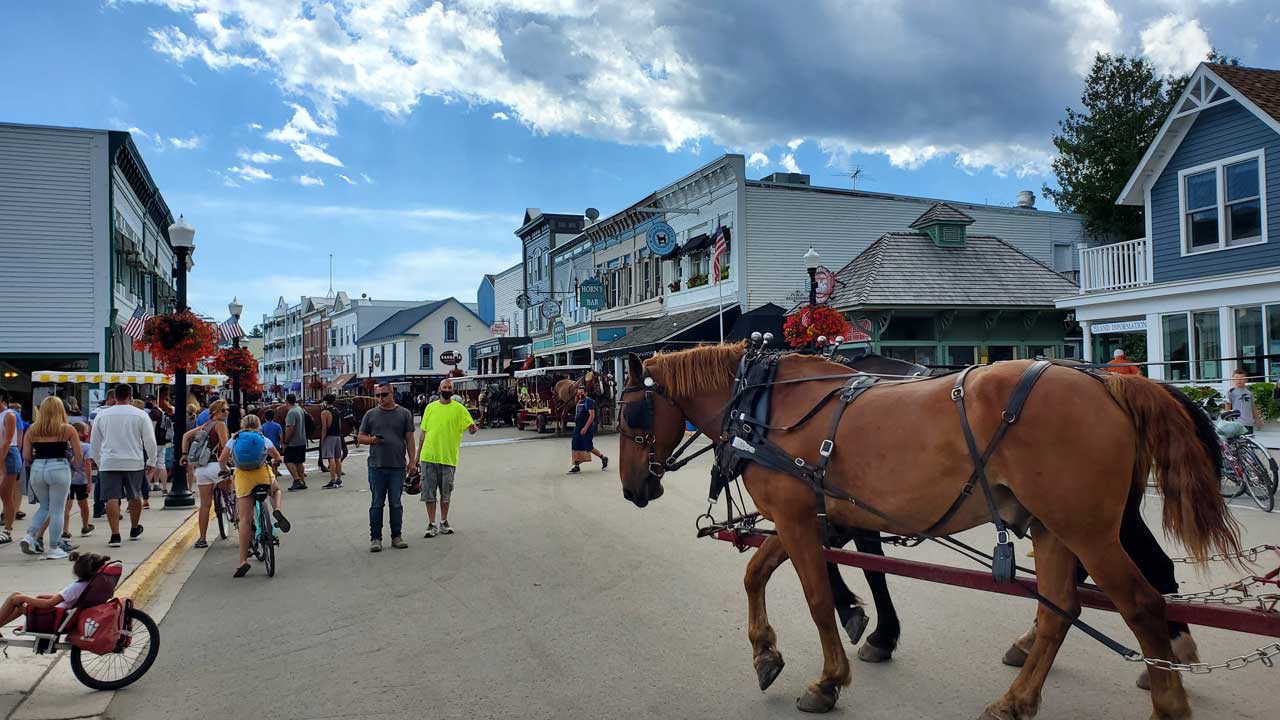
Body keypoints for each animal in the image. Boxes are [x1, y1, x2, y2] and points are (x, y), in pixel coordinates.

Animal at [619, 345, 1239, 712]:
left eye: (630, 415)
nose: (632, 488)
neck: (768, 404)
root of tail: (1109, 383)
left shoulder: (797, 518)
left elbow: (817, 597)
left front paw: (828, 678)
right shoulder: (808, 517)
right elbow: (755, 573)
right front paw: (766, 655)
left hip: (1087, 528)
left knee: (1142, 604)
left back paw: (1167, 694)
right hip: (1052, 526)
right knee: (1059, 609)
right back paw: (1015, 699)